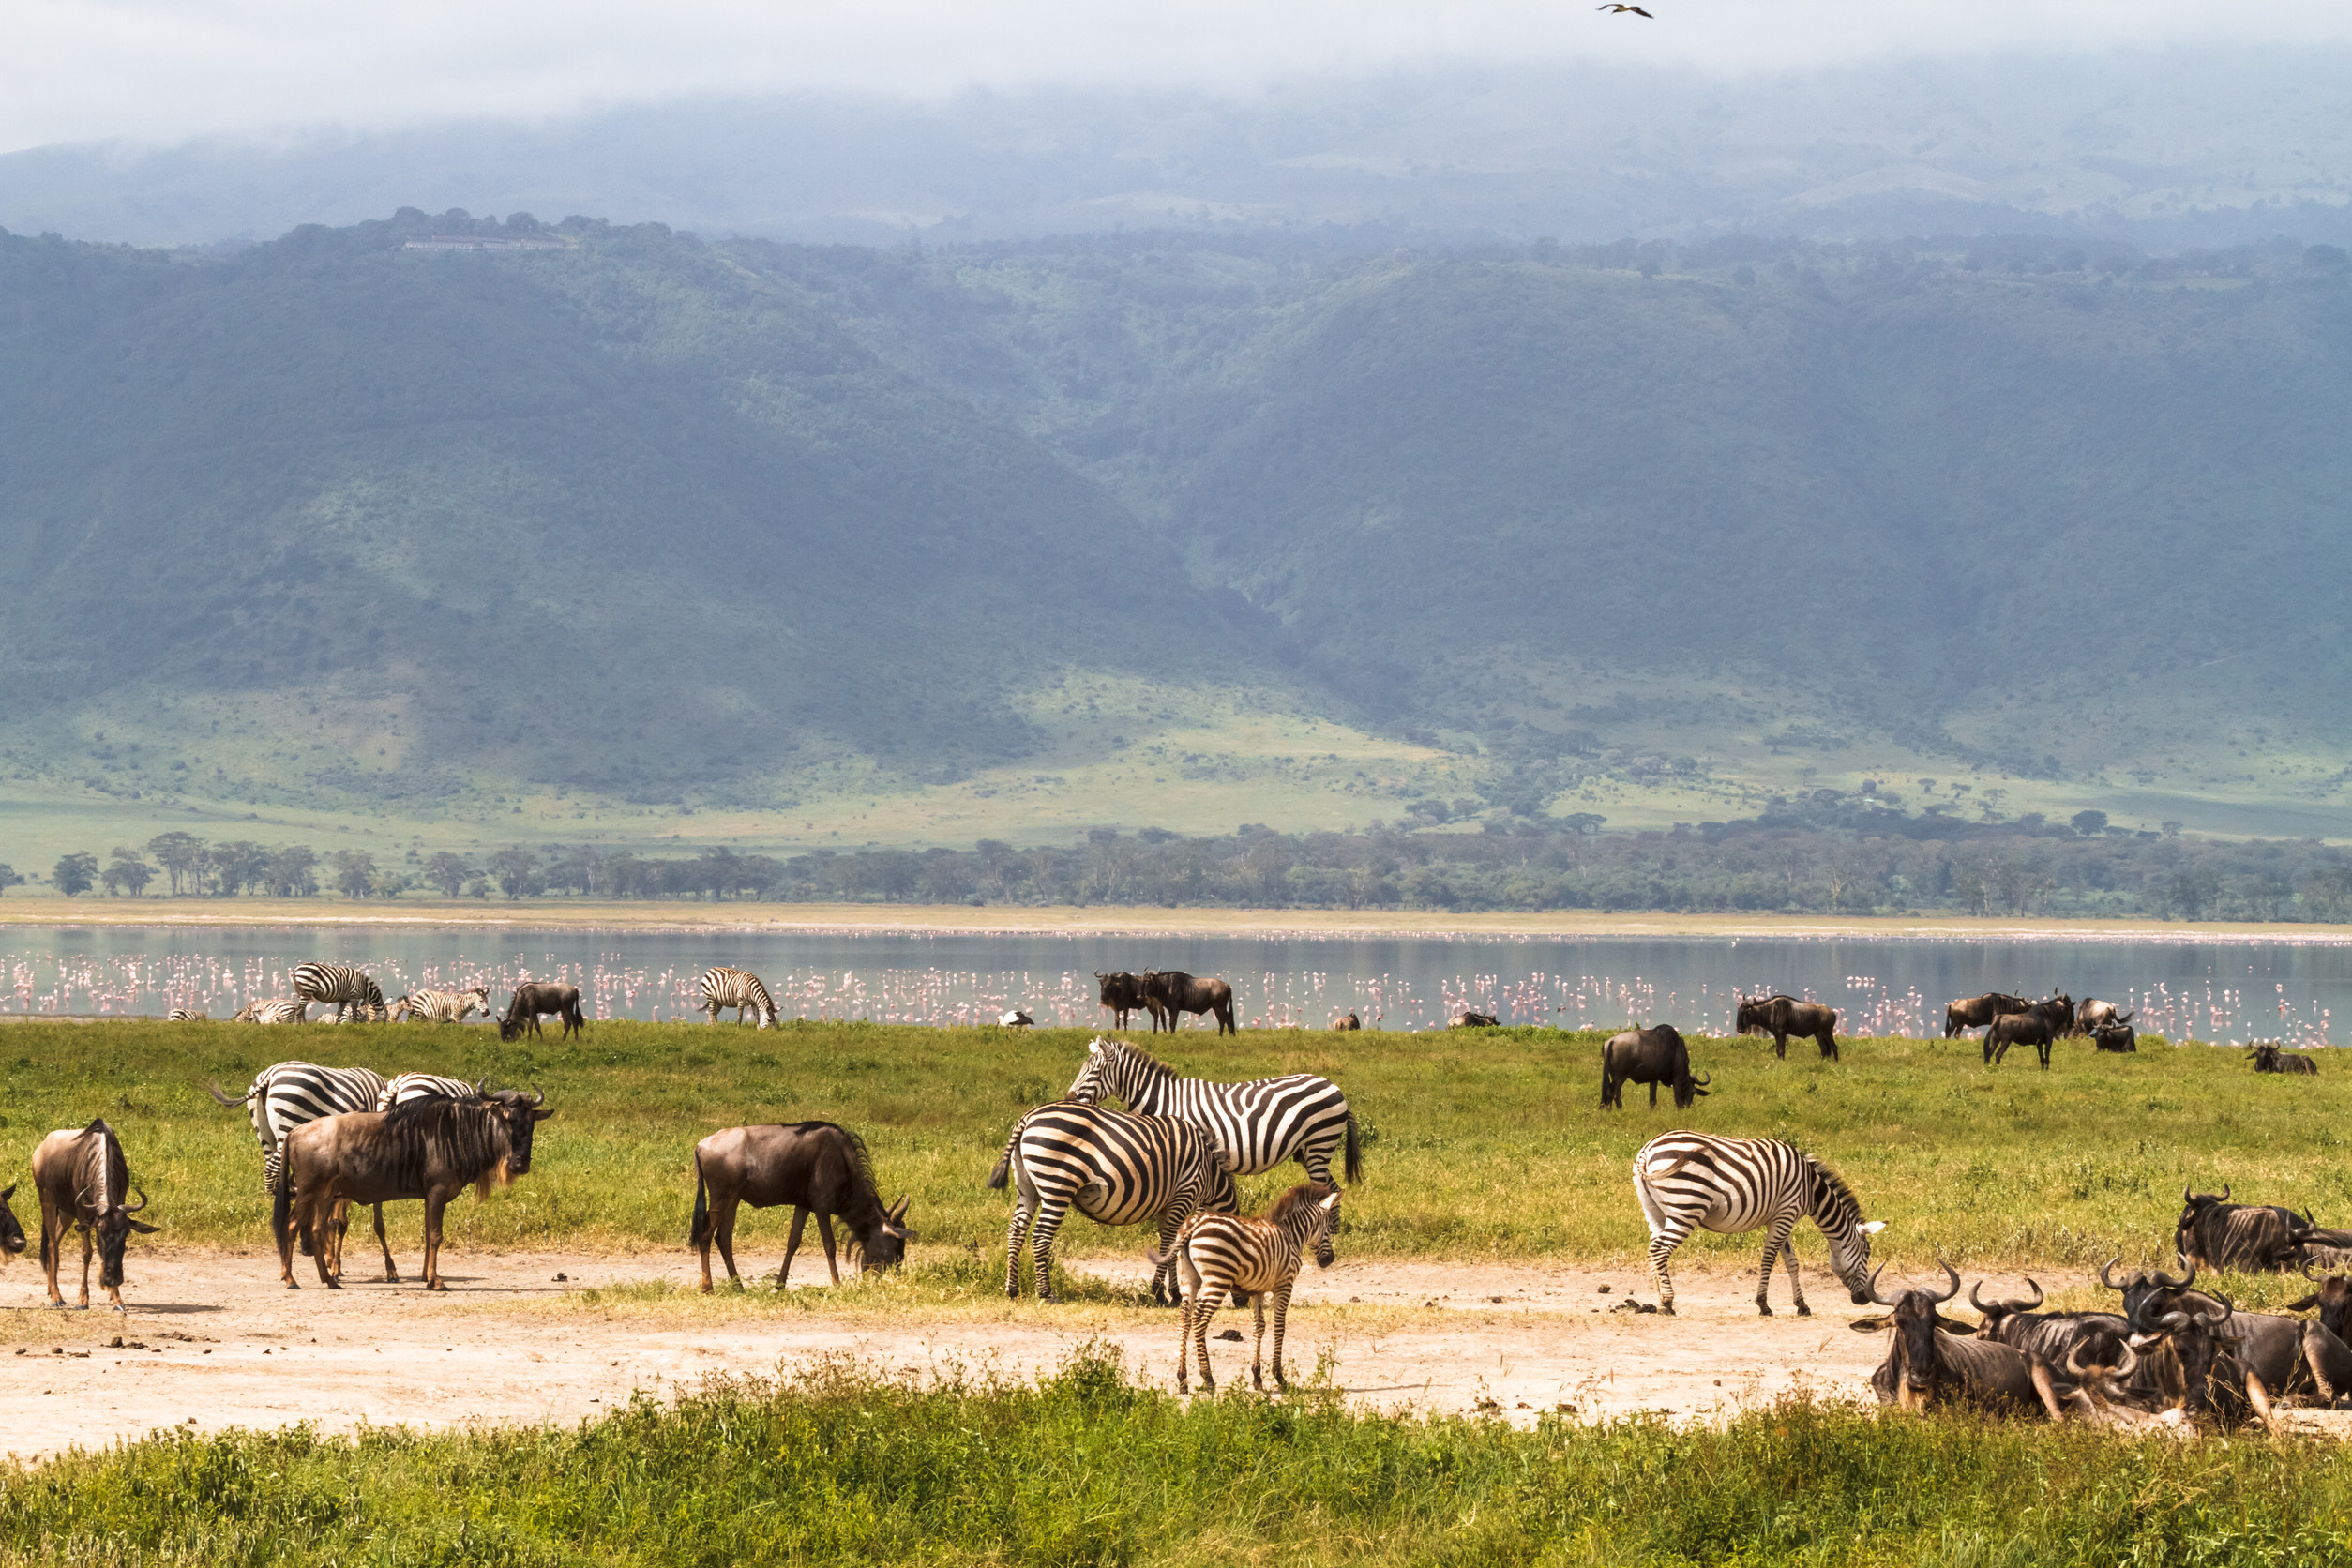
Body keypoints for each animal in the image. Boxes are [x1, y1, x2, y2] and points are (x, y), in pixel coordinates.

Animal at [983, 1105, 1242, 1316]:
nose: (1243, 1302)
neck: (1209, 1174)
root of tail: (1028, 1117)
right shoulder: (1184, 1195)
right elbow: (1170, 1246)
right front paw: (1160, 1293)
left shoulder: (1167, 1206)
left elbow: (1171, 1246)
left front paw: (1174, 1293)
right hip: (1058, 1185)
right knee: (1041, 1236)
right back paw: (1047, 1293)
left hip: (1027, 1187)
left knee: (1016, 1231)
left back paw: (1012, 1288)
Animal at [1063, 1043, 1364, 1189]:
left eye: (1093, 1071)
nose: (1068, 1098)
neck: (1164, 1099)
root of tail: (1335, 1087)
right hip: (1309, 1152)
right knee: (1333, 1189)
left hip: (1319, 1144)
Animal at [1152, 1184, 1345, 1391]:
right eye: (1328, 1229)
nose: (1329, 1260)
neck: (1291, 1236)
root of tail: (1193, 1225)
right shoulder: (1285, 1284)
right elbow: (1280, 1327)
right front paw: (1279, 1377)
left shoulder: (1257, 1290)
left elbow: (1259, 1327)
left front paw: (1257, 1377)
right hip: (1218, 1279)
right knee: (1199, 1319)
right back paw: (1208, 1377)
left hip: (1189, 1279)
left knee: (1184, 1320)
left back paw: (1182, 1379)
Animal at [1627, 1133, 1881, 1316]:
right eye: (1867, 1253)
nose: (1863, 1299)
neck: (1811, 1188)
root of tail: (1646, 1152)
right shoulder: (1785, 1214)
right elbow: (1768, 1260)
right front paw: (1763, 1305)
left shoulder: (1783, 1217)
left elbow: (1792, 1263)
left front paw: (1802, 1305)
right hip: (1687, 1207)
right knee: (1660, 1249)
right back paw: (1668, 1302)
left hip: (1655, 1212)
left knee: (1653, 1249)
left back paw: (1660, 1300)